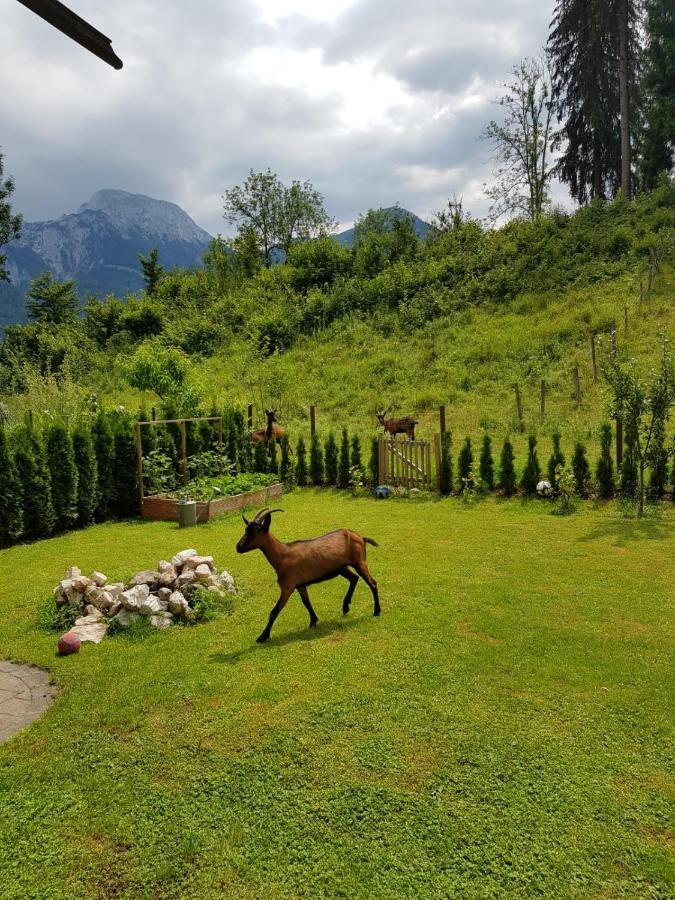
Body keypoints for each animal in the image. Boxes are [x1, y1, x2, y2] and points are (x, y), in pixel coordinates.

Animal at [236, 510, 380, 644]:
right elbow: (306, 603)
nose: (238, 547)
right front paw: (313, 621)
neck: (283, 555)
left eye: (255, 532)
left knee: (372, 583)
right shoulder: (300, 585)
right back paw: (345, 607)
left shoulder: (287, 587)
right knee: (354, 578)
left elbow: (274, 611)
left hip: (359, 562)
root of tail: (361, 537)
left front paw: (262, 637)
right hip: (341, 568)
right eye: (246, 529)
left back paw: (376, 611)